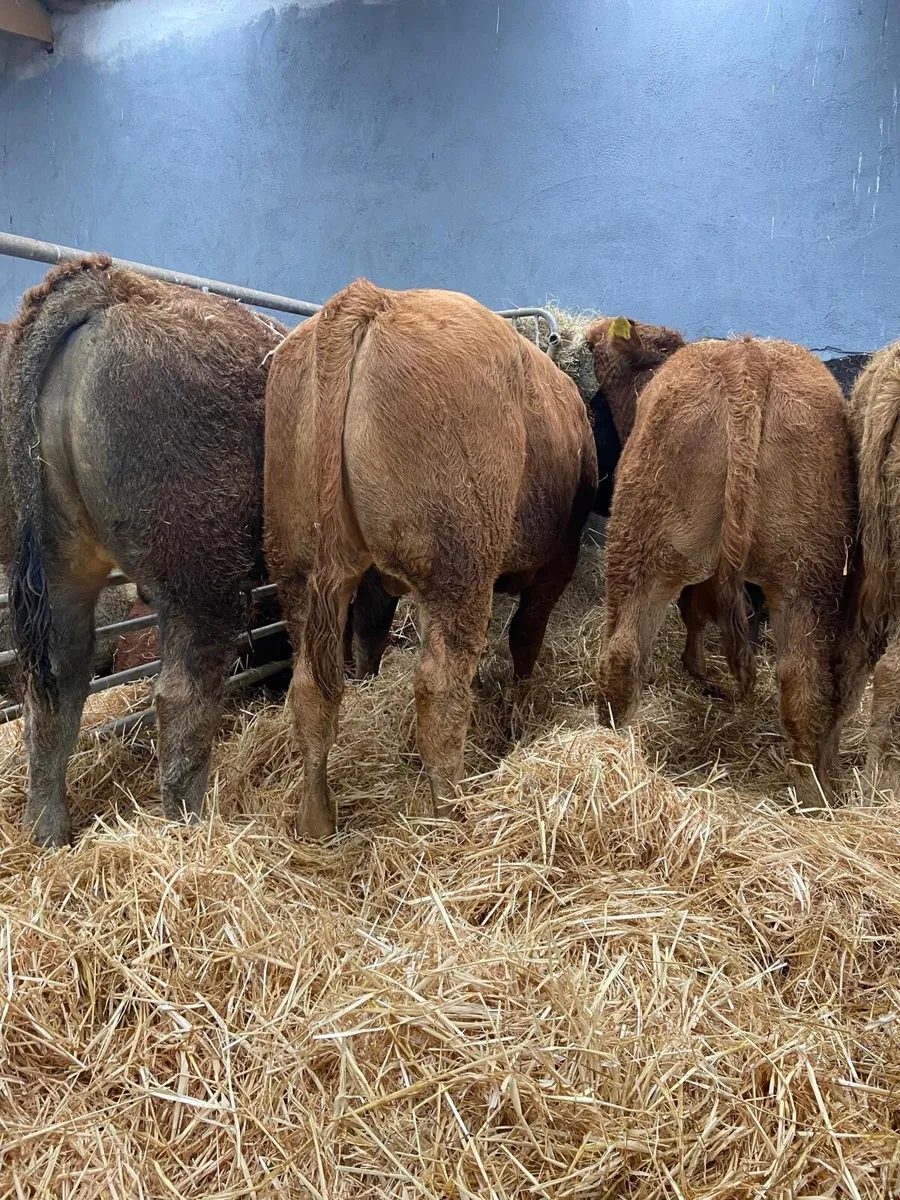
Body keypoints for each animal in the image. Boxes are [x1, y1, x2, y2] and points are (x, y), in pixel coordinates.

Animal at [0, 255, 286, 846]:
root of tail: (113, 286)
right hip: (202, 576)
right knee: (182, 695)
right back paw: (189, 827)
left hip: (59, 572)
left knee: (54, 693)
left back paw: (47, 834)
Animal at [265, 279, 598, 838]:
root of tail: (373, 299)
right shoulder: (558, 561)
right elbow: (526, 635)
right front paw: (523, 703)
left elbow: (371, 635)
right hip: (456, 569)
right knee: (440, 687)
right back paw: (452, 814)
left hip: (299, 569)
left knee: (311, 687)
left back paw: (316, 820)